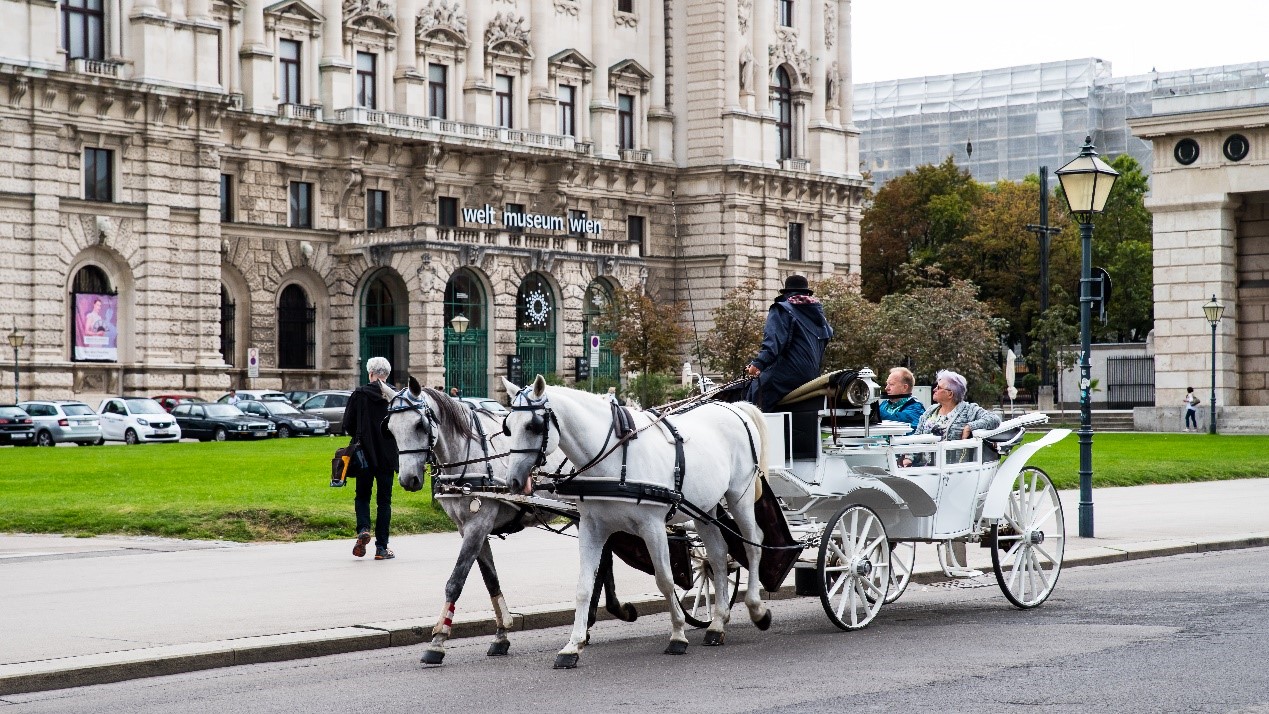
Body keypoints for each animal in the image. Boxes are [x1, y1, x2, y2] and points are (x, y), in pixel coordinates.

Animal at [373, 377, 634, 669]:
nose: (408, 480)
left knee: (602, 563)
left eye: (419, 424)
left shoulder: (478, 526)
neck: (470, 457)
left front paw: (438, 641)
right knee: (604, 561)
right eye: (390, 429)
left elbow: (456, 581)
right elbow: (491, 580)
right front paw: (501, 634)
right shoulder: (470, 529)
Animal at [499, 375, 766, 669]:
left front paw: (678, 634)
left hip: (739, 497)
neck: (614, 461)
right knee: (717, 557)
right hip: (705, 509)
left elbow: (665, 580)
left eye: (533, 426)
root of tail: (735, 408)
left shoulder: (653, 527)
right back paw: (717, 624)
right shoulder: (592, 528)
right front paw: (573, 646)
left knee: (753, 545)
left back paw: (756, 607)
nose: (513, 481)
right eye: (508, 426)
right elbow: (583, 587)